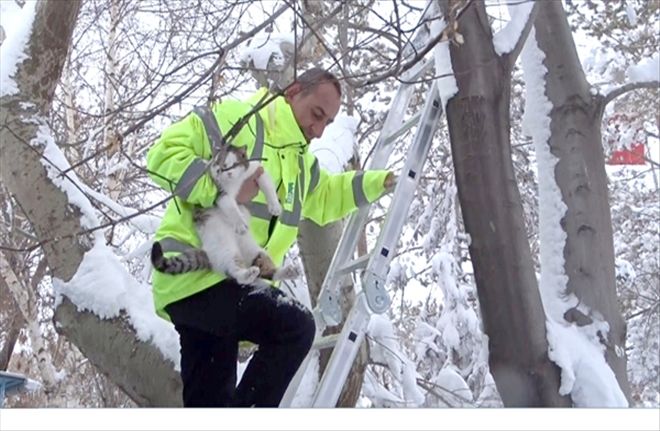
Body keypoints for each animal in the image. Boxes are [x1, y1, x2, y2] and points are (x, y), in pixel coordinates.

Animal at [151, 146, 298, 286]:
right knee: (236, 270)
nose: (229, 172)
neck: (234, 181)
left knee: (265, 269)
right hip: (224, 246)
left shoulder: (257, 170)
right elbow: (231, 208)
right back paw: (247, 274)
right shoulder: (221, 193)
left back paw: (288, 272)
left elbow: (268, 187)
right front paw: (240, 223)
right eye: (223, 164)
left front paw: (275, 207)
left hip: (254, 250)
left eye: (235, 163)